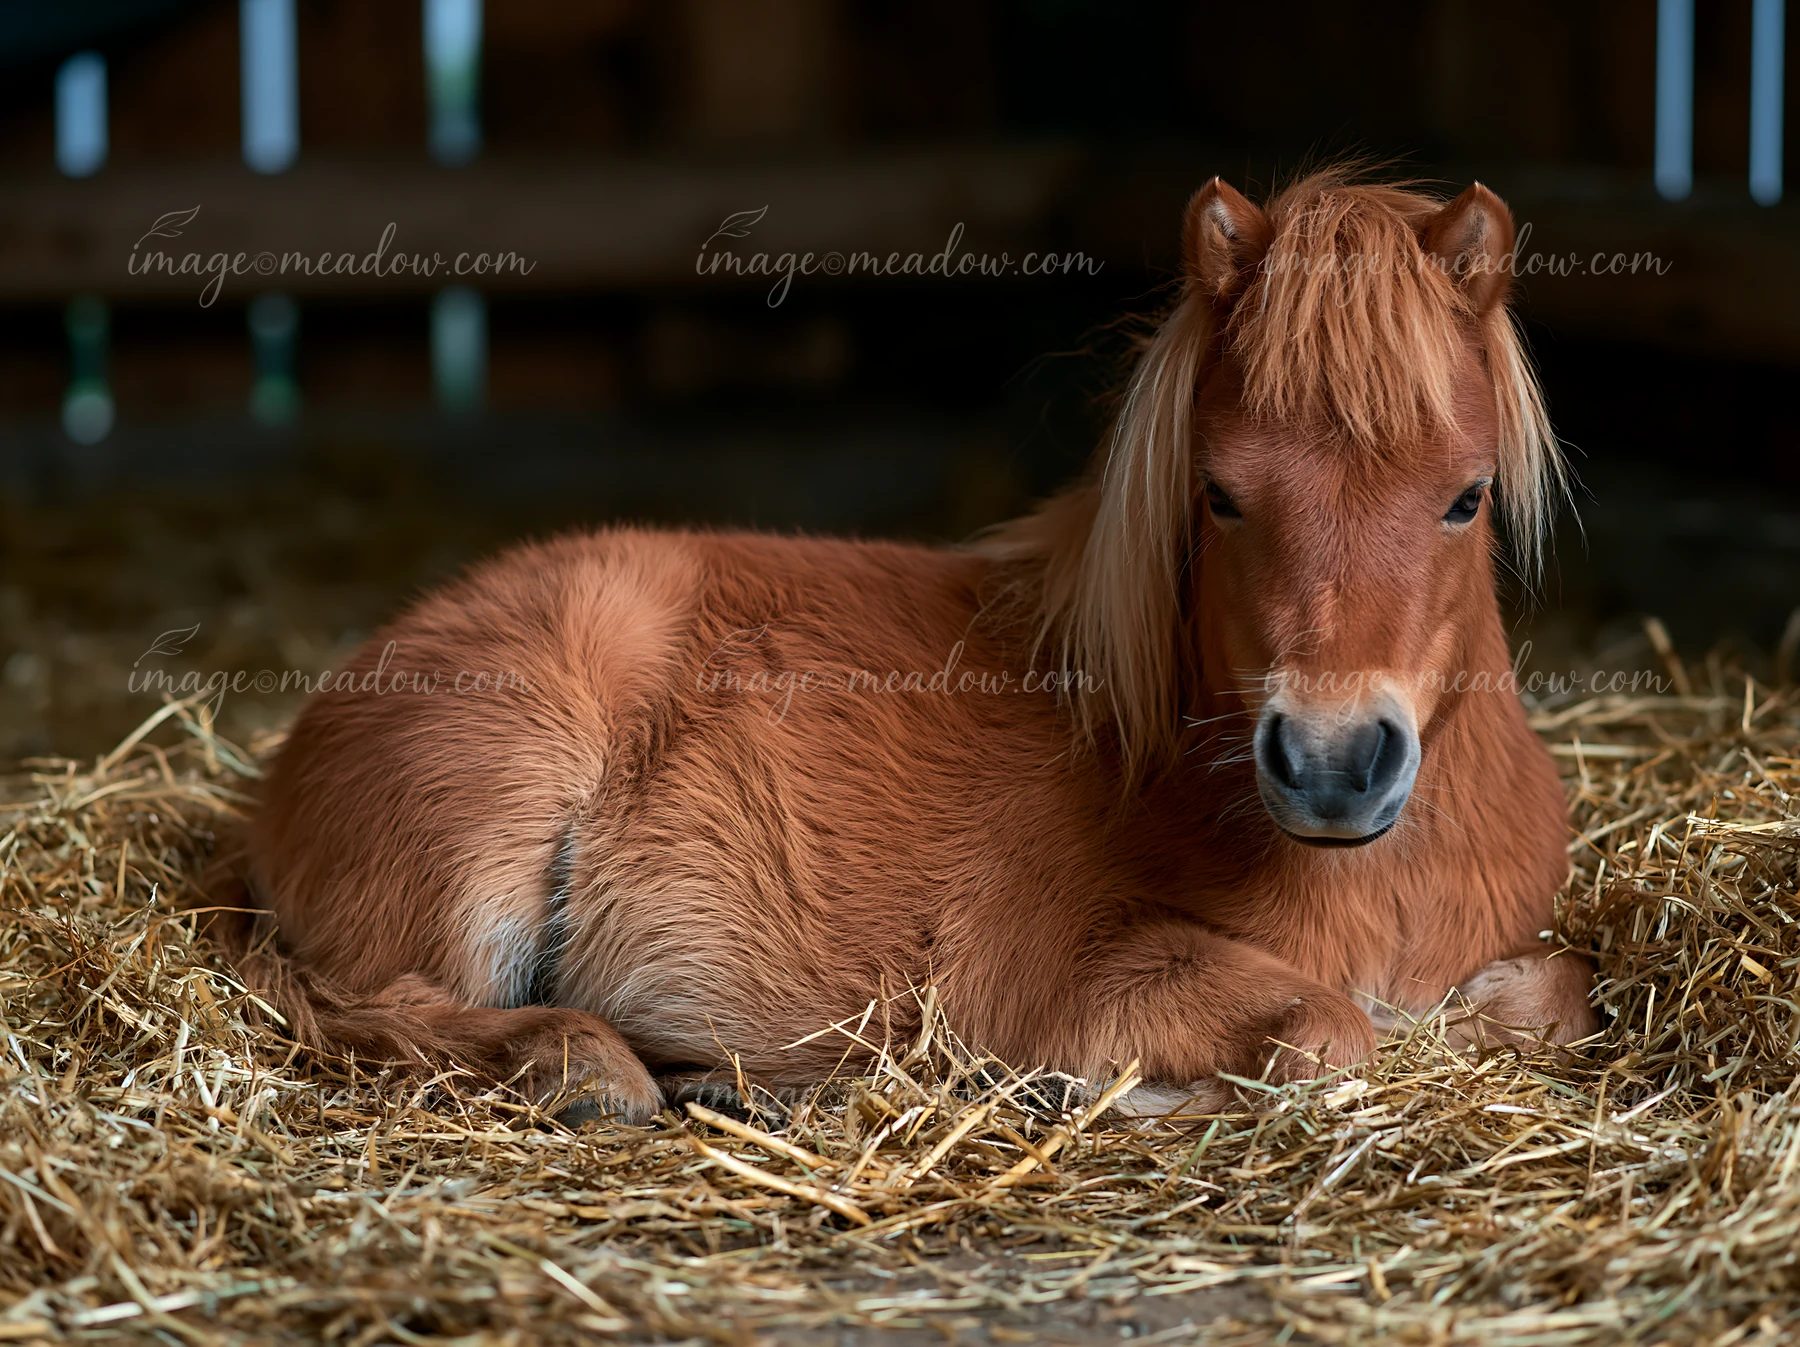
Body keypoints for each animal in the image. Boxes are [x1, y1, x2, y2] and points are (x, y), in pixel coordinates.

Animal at [229, 167, 1596, 1123]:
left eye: (1466, 497)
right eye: (1220, 494)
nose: (1330, 766)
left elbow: (1556, 993)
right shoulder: (1062, 972)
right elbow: (1327, 1032)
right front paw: (1085, 1093)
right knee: (340, 999)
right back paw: (588, 1069)